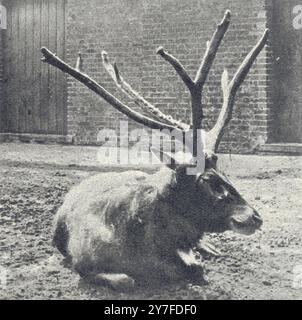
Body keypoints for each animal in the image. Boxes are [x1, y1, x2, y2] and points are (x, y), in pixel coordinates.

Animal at [40, 10, 266, 290]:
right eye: (208, 181)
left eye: (225, 173)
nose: (255, 217)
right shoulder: (81, 260)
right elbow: (126, 280)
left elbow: (195, 267)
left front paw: (199, 257)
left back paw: (210, 247)